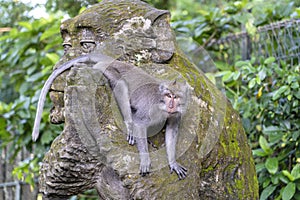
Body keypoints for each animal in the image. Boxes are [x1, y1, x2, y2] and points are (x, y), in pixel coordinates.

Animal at [32, 53, 188, 180]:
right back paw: (129, 124)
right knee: (120, 83)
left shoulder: (176, 114)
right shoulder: (150, 108)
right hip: (105, 69)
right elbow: (139, 123)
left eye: (176, 97)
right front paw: (144, 157)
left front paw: (173, 162)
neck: (162, 106)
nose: (171, 104)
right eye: (168, 95)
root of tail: (116, 61)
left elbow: (171, 131)